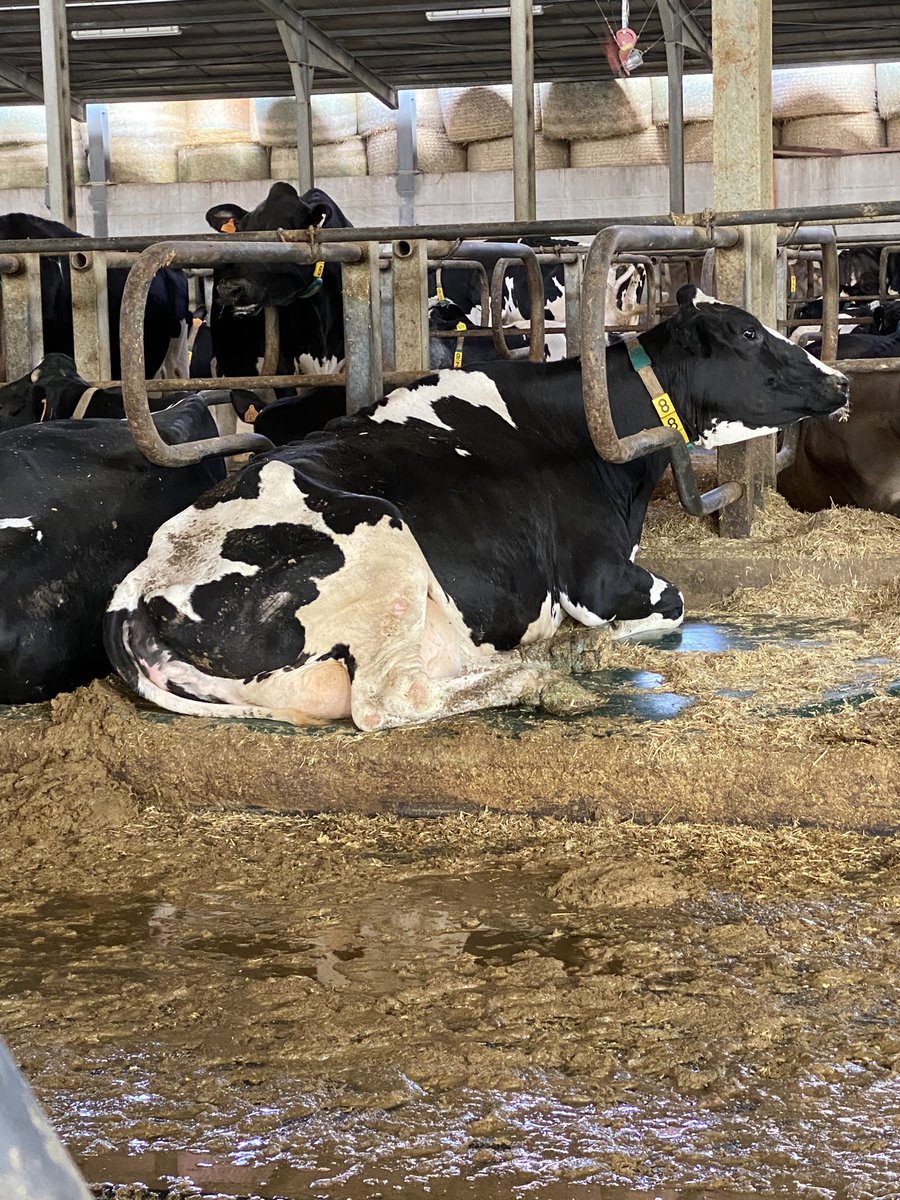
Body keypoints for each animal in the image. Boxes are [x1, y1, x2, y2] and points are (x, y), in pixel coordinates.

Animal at [104, 287, 849, 732]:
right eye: (748, 335)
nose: (841, 380)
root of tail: (136, 591)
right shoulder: (597, 577)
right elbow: (671, 604)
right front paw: (585, 644)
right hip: (379, 533)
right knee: (388, 701)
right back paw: (542, 678)